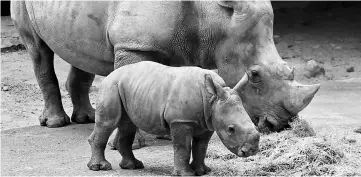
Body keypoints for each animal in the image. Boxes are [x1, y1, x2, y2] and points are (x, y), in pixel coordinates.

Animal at [11, 0, 320, 132]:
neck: (214, 16)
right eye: (254, 75)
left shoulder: (186, 44)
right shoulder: (135, 44)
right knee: (38, 49)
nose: (281, 125)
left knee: (84, 52)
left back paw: (87, 118)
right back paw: (56, 123)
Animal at [87, 60, 258, 176]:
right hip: (110, 86)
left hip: (129, 87)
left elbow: (201, 147)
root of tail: (110, 74)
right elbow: (183, 146)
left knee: (128, 125)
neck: (212, 100)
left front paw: (202, 171)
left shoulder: (208, 122)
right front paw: (186, 174)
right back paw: (100, 167)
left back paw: (133, 166)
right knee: (108, 123)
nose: (252, 150)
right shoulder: (180, 120)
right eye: (231, 129)